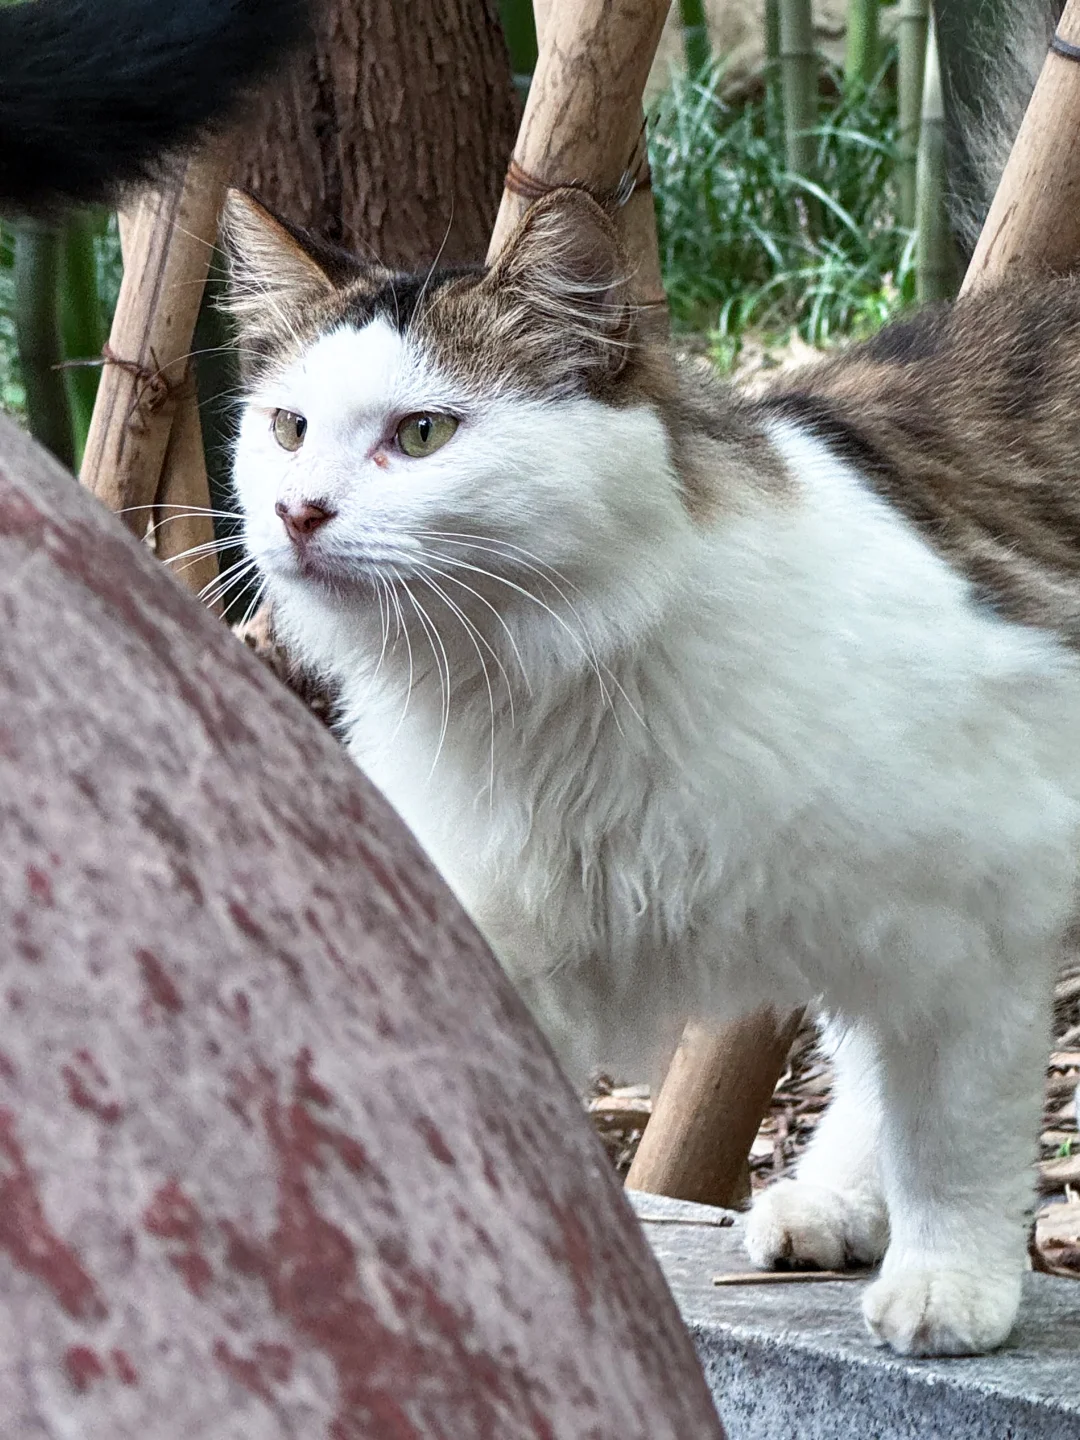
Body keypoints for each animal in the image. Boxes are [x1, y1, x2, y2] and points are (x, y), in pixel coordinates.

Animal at [223, 183, 1080, 1359]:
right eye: (289, 428)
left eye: (423, 434)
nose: (297, 514)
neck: (544, 697)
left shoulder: (980, 911)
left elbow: (953, 1134)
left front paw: (951, 1280)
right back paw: (834, 1204)